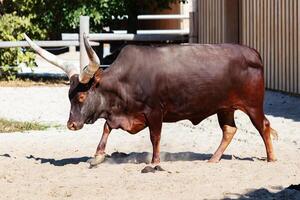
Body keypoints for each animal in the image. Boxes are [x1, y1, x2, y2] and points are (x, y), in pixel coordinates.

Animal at [24, 33, 278, 166]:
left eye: (82, 95)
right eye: (68, 96)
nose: (72, 124)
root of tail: (252, 53)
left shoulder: (156, 111)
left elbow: (155, 136)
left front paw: (155, 161)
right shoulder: (122, 115)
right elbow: (106, 127)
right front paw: (98, 155)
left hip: (252, 105)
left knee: (264, 126)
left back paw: (271, 158)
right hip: (224, 107)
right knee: (229, 130)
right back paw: (213, 160)